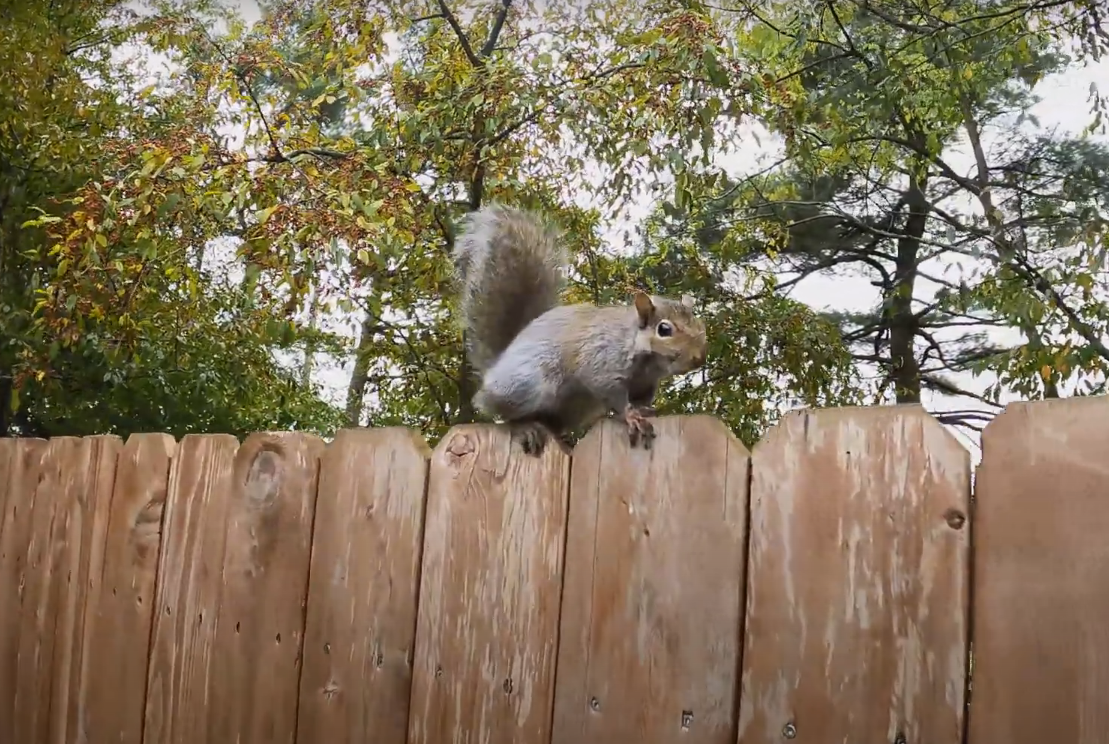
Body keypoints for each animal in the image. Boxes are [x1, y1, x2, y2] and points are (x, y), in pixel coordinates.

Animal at [452, 204, 705, 454]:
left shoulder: (646, 385)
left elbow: (641, 400)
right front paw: (631, 416)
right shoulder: (602, 362)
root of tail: (495, 367)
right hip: (527, 384)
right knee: (501, 411)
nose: (699, 358)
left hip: (575, 407)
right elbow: (614, 395)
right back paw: (524, 426)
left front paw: (644, 411)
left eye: (700, 325)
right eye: (664, 329)